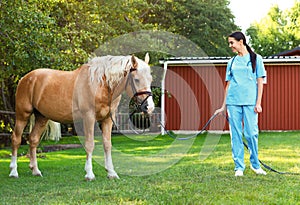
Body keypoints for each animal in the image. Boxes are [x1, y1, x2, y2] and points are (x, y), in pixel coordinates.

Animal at [8, 53, 155, 180]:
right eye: (136, 79)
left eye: (150, 79)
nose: (149, 107)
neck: (101, 84)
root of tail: (25, 78)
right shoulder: (88, 117)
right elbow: (89, 144)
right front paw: (89, 174)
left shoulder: (107, 120)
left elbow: (107, 145)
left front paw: (111, 173)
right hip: (22, 115)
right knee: (16, 139)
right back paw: (14, 171)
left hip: (41, 118)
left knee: (33, 140)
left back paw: (35, 170)